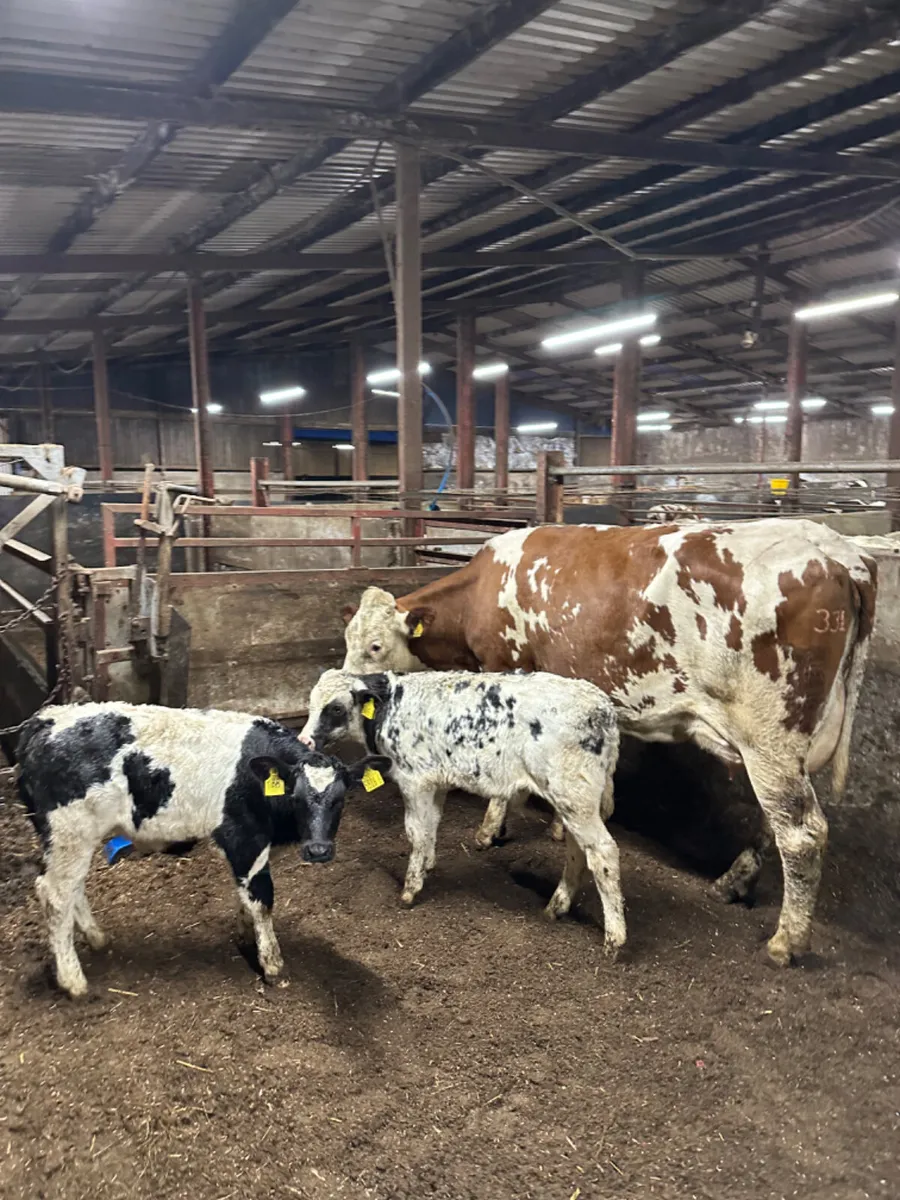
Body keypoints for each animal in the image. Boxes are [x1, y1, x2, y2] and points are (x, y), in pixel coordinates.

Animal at [16, 702, 389, 998]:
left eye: (341, 799)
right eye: (296, 797)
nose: (318, 850)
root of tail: (44, 719)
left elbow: (246, 897)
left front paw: (246, 937)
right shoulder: (242, 837)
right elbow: (262, 897)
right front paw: (272, 964)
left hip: (72, 840)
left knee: (71, 888)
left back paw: (96, 938)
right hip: (70, 831)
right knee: (54, 895)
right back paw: (73, 981)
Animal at [299, 669, 626, 956]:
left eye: (336, 708)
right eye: (311, 704)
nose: (305, 740)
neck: (391, 706)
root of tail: (602, 706)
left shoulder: (414, 780)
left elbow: (415, 832)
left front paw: (410, 888)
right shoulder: (436, 781)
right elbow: (431, 826)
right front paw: (428, 865)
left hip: (574, 796)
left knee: (603, 852)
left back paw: (614, 939)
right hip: (574, 802)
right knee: (578, 849)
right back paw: (557, 905)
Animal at [340, 519, 877, 968]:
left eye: (375, 646)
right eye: (347, 639)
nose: (349, 688)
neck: (484, 589)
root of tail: (840, 552)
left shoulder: (508, 670)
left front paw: (491, 829)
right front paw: (560, 830)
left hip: (769, 737)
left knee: (801, 834)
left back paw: (786, 941)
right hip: (782, 748)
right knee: (777, 823)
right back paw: (732, 882)